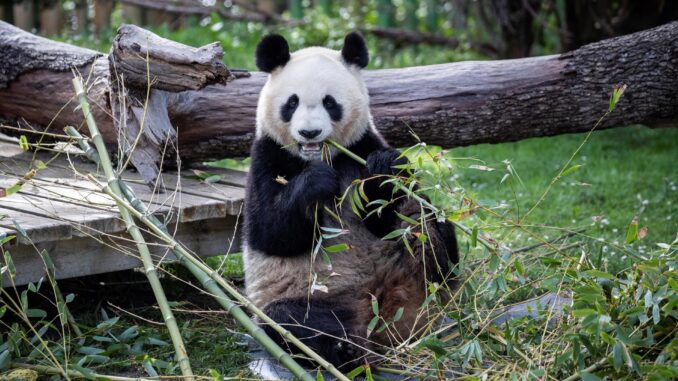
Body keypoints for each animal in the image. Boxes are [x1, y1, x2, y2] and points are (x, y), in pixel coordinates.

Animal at [244, 31, 462, 370]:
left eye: (330, 102)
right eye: (291, 102)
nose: (310, 132)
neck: (324, 157)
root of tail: (383, 312)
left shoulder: (362, 146)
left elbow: (385, 216)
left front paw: (383, 170)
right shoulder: (268, 155)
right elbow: (271, 232)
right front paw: (315, 182)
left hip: (416, 276)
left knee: (431, 231)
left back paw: (428, 245)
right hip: (317, 296)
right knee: (291, 320)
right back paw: (345, 351)